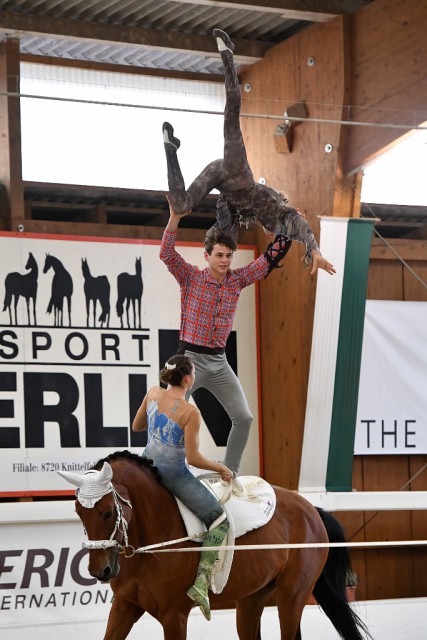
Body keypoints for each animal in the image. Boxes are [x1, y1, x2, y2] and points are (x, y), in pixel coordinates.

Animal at [61, 450, 372, 640]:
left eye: (107, 513)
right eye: (79, 512)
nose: (99, 571)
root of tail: (311, 510)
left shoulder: (174, 615)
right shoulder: (124, 607)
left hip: (292, 596)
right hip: (251, 600)